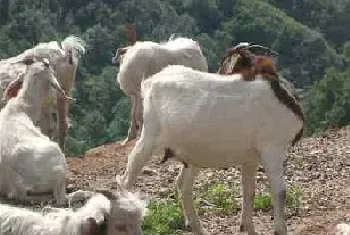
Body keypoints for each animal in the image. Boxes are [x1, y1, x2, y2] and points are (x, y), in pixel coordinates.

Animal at [119, 63, 304, 235]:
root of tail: (150, 81)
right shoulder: (272, 148)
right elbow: (280, 192)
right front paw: (280, 229)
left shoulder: (251, 157)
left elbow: (249, 191)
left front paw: (248, 228)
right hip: (149, 135)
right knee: (127, 178)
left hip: (191, 153)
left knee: (183, 185)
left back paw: (196, 227)